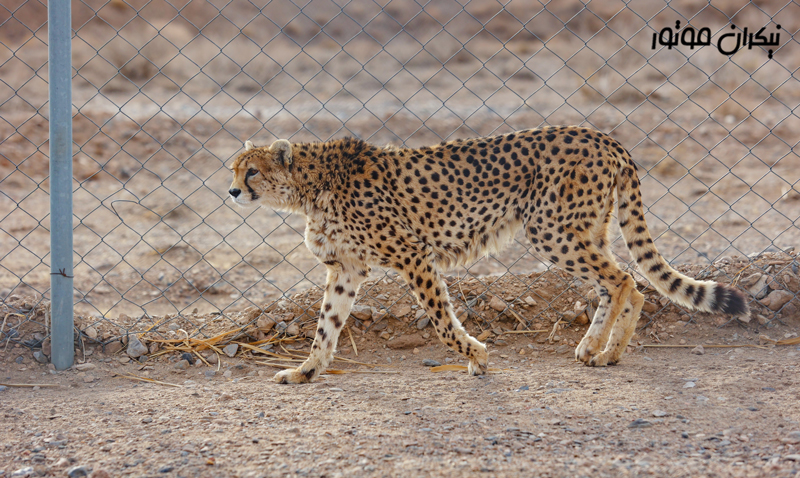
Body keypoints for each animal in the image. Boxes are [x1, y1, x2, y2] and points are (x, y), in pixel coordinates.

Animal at [227, 125, 752, 382]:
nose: (232, 191)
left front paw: (476, 357)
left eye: (251, 171)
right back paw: (595, 349)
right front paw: (305, 372)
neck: (310, 185)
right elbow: (325, 328)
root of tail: (601, 135)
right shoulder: (347, 268)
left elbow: (441, 319)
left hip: (551, 229)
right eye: (234, 168)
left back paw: (607, 353)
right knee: (624, 282)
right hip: (582, 229)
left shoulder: (414, 254)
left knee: (625, 280)